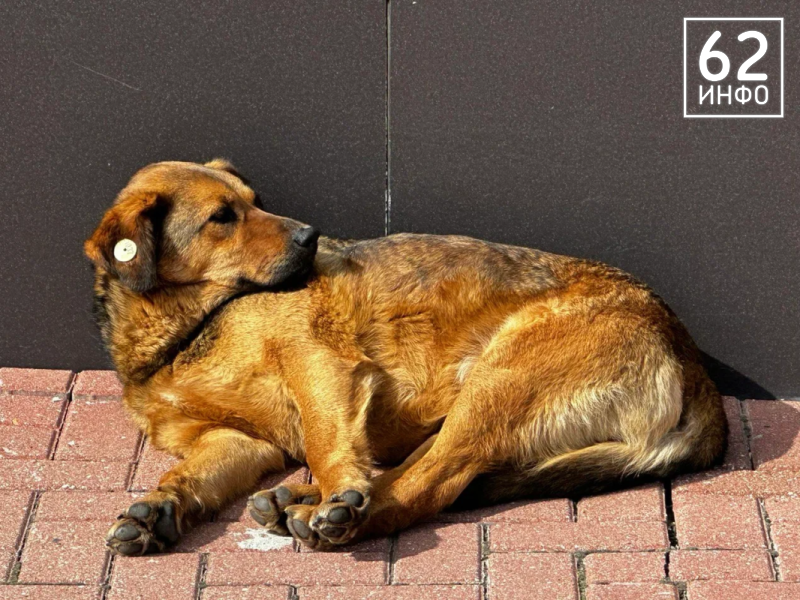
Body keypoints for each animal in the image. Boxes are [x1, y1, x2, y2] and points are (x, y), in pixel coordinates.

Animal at [85, 159, 727, 555]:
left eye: (257, 203)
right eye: (222, 218)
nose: (311, 236)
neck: (185, 334)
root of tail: (692, 361)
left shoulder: (319, 365)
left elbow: (326, 443)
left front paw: (339, 492)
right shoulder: (231, 440)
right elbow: (187, 475)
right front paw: (157, 511)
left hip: (497, 378)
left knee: (429, 486)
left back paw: (334, 516)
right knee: (414, 473)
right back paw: (298, 501)